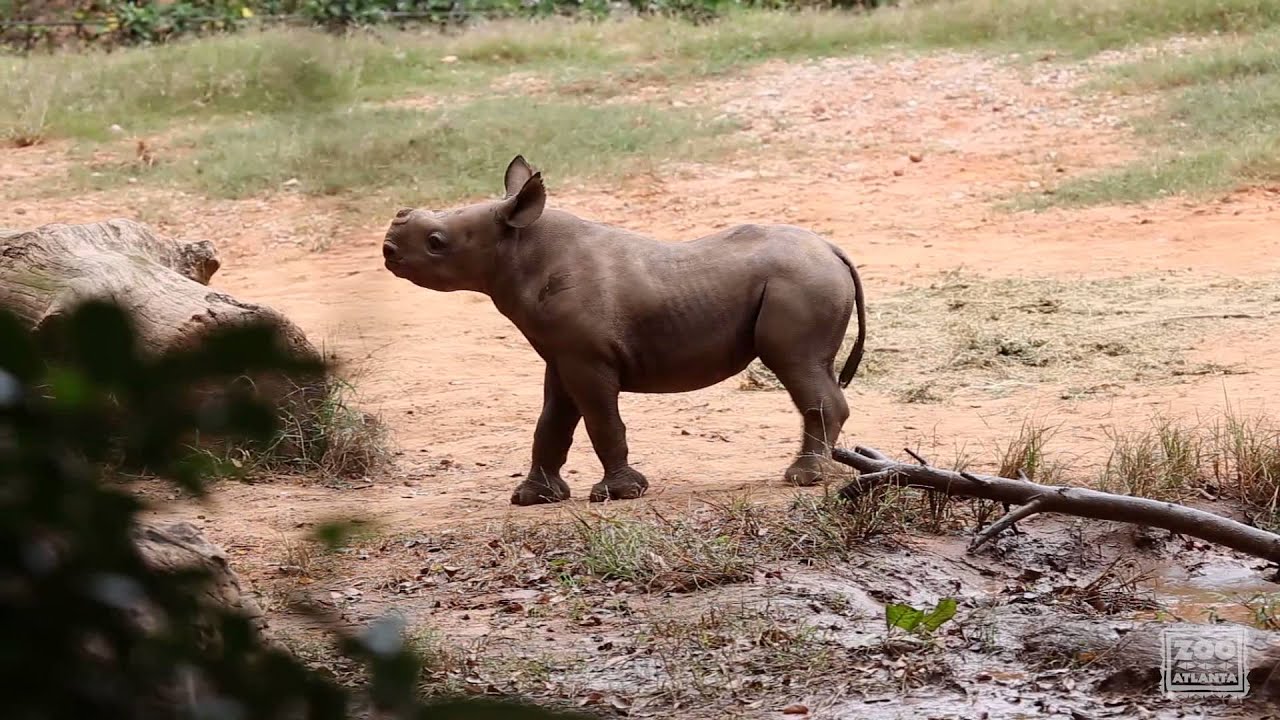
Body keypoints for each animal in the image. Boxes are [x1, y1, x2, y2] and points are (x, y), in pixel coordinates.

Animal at [382, 156, 867, 506]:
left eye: (437, 243)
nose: (387, 249)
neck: (516, 249)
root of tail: (833, 249)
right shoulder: (563, 355)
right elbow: (551, 421)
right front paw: (532, 498)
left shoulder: (589, 358)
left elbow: (602, 420)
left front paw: (620, 494)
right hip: (807, 277)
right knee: (809, 366)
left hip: (801, 281)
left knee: (794, 362)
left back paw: (803, 479)